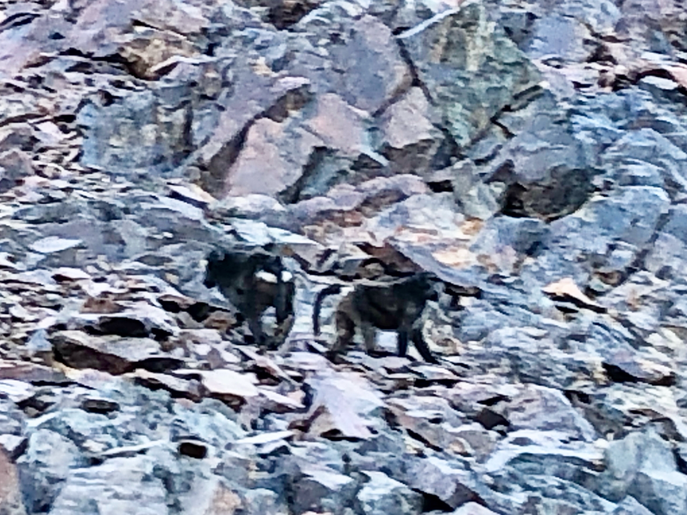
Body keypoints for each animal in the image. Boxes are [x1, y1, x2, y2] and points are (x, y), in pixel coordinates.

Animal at [312, 272, 442, 364]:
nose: (437, 293)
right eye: (432, 280)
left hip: (344, 310)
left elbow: (417, 337)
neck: (419, 290)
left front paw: (432, 361)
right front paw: (402, 357)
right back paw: (373, 352)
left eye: (436, 280)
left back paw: (332, 354)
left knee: (346, 333)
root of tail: (349, 291)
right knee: (367, 328)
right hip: (358, 306)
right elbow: (404, 332)